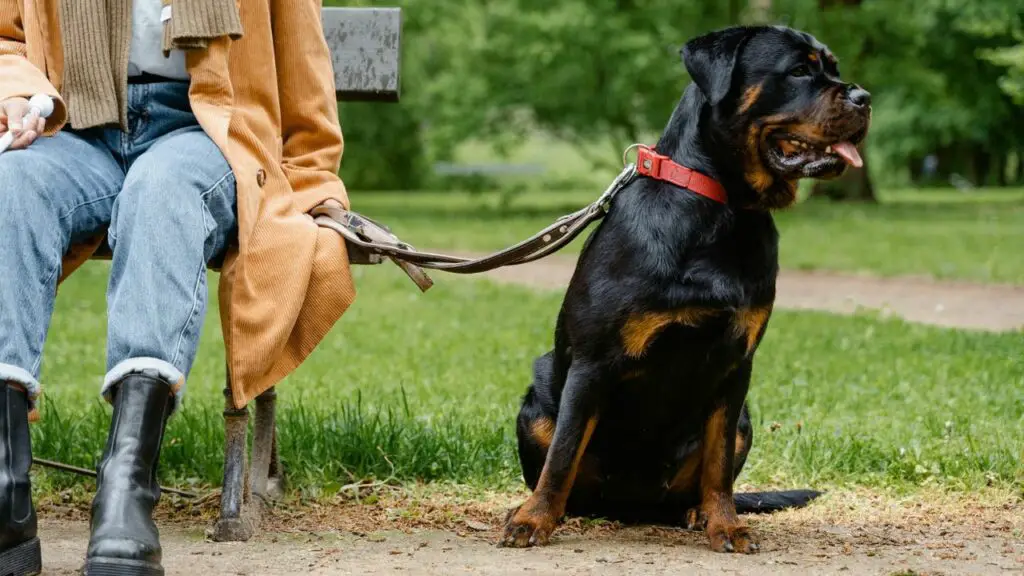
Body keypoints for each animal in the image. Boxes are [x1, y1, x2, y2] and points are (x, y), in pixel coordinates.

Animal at [499, 25, 868, 553]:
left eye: (833, 69)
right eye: (799, 69)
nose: (864, 97)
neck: (723, 208)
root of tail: (634, 509)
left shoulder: (735, 365)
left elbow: (718, 467)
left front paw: (725, 524)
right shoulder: (593, 362)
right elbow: (564, 452)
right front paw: (533, 519)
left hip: (744, 419)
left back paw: (696, 513)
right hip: (537, 406)